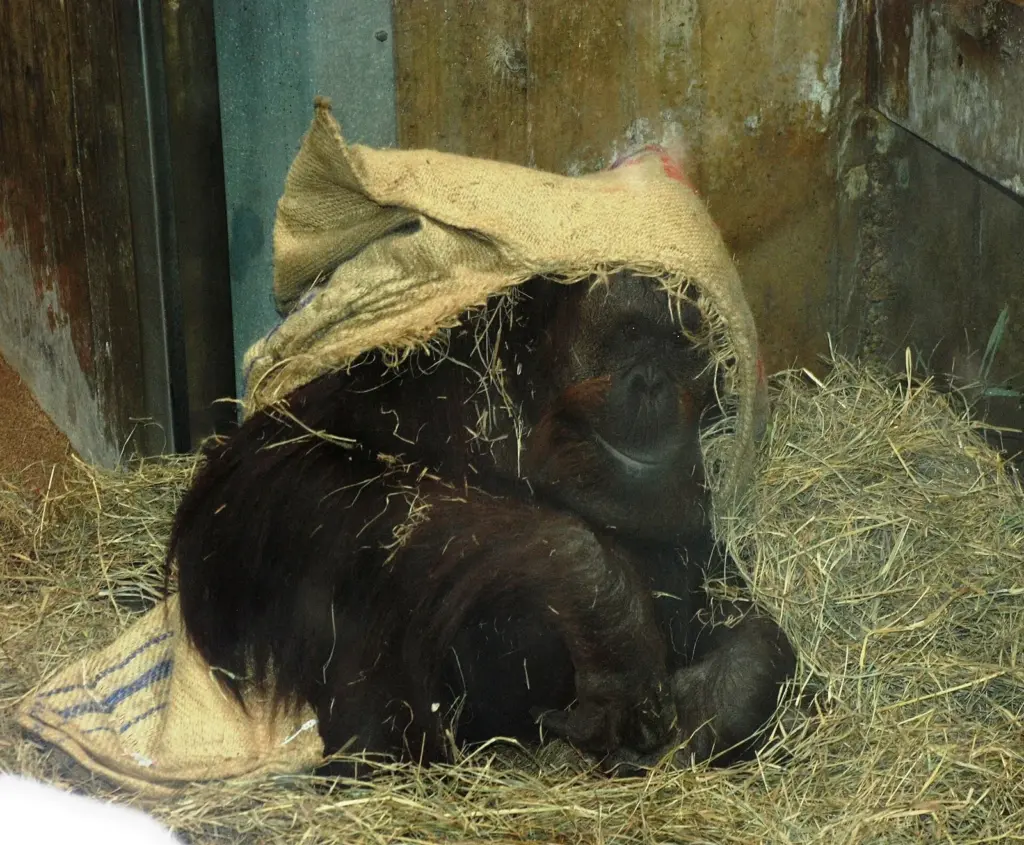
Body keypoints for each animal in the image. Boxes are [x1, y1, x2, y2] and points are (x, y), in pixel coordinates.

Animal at [166, 271, 795, 776]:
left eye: (678, 347)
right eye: (630, 337)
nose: (649, 382)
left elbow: (728, 600)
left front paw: (710, 704)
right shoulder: (430, 367)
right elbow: (280, 472)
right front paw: (598, 597)